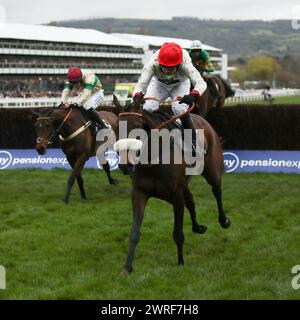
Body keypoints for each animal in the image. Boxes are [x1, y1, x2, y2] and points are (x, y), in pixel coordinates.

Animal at [112, 94, 232, 272]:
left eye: (137, 127)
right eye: (115, 128)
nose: (125, 165)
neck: (153, 159)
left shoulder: (176, 195)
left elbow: (178, 233)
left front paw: (180, 262)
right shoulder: (140, 193)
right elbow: (134, 233)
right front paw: (127, 267)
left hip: (211, 168)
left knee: (216, 190)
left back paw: (224, 220)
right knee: (191, 201)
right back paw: (198, 227)